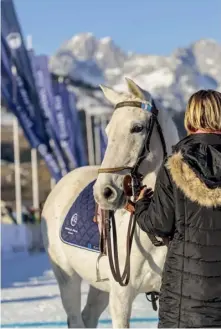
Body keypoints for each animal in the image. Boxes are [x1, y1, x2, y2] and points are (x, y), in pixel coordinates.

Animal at [41, 78, 180, 326]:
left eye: (137, 127)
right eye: (107, 130)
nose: (104, 192)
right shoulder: (121, 296)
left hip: (100, 286)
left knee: (88, 317)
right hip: (67, 278)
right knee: (75, 318)